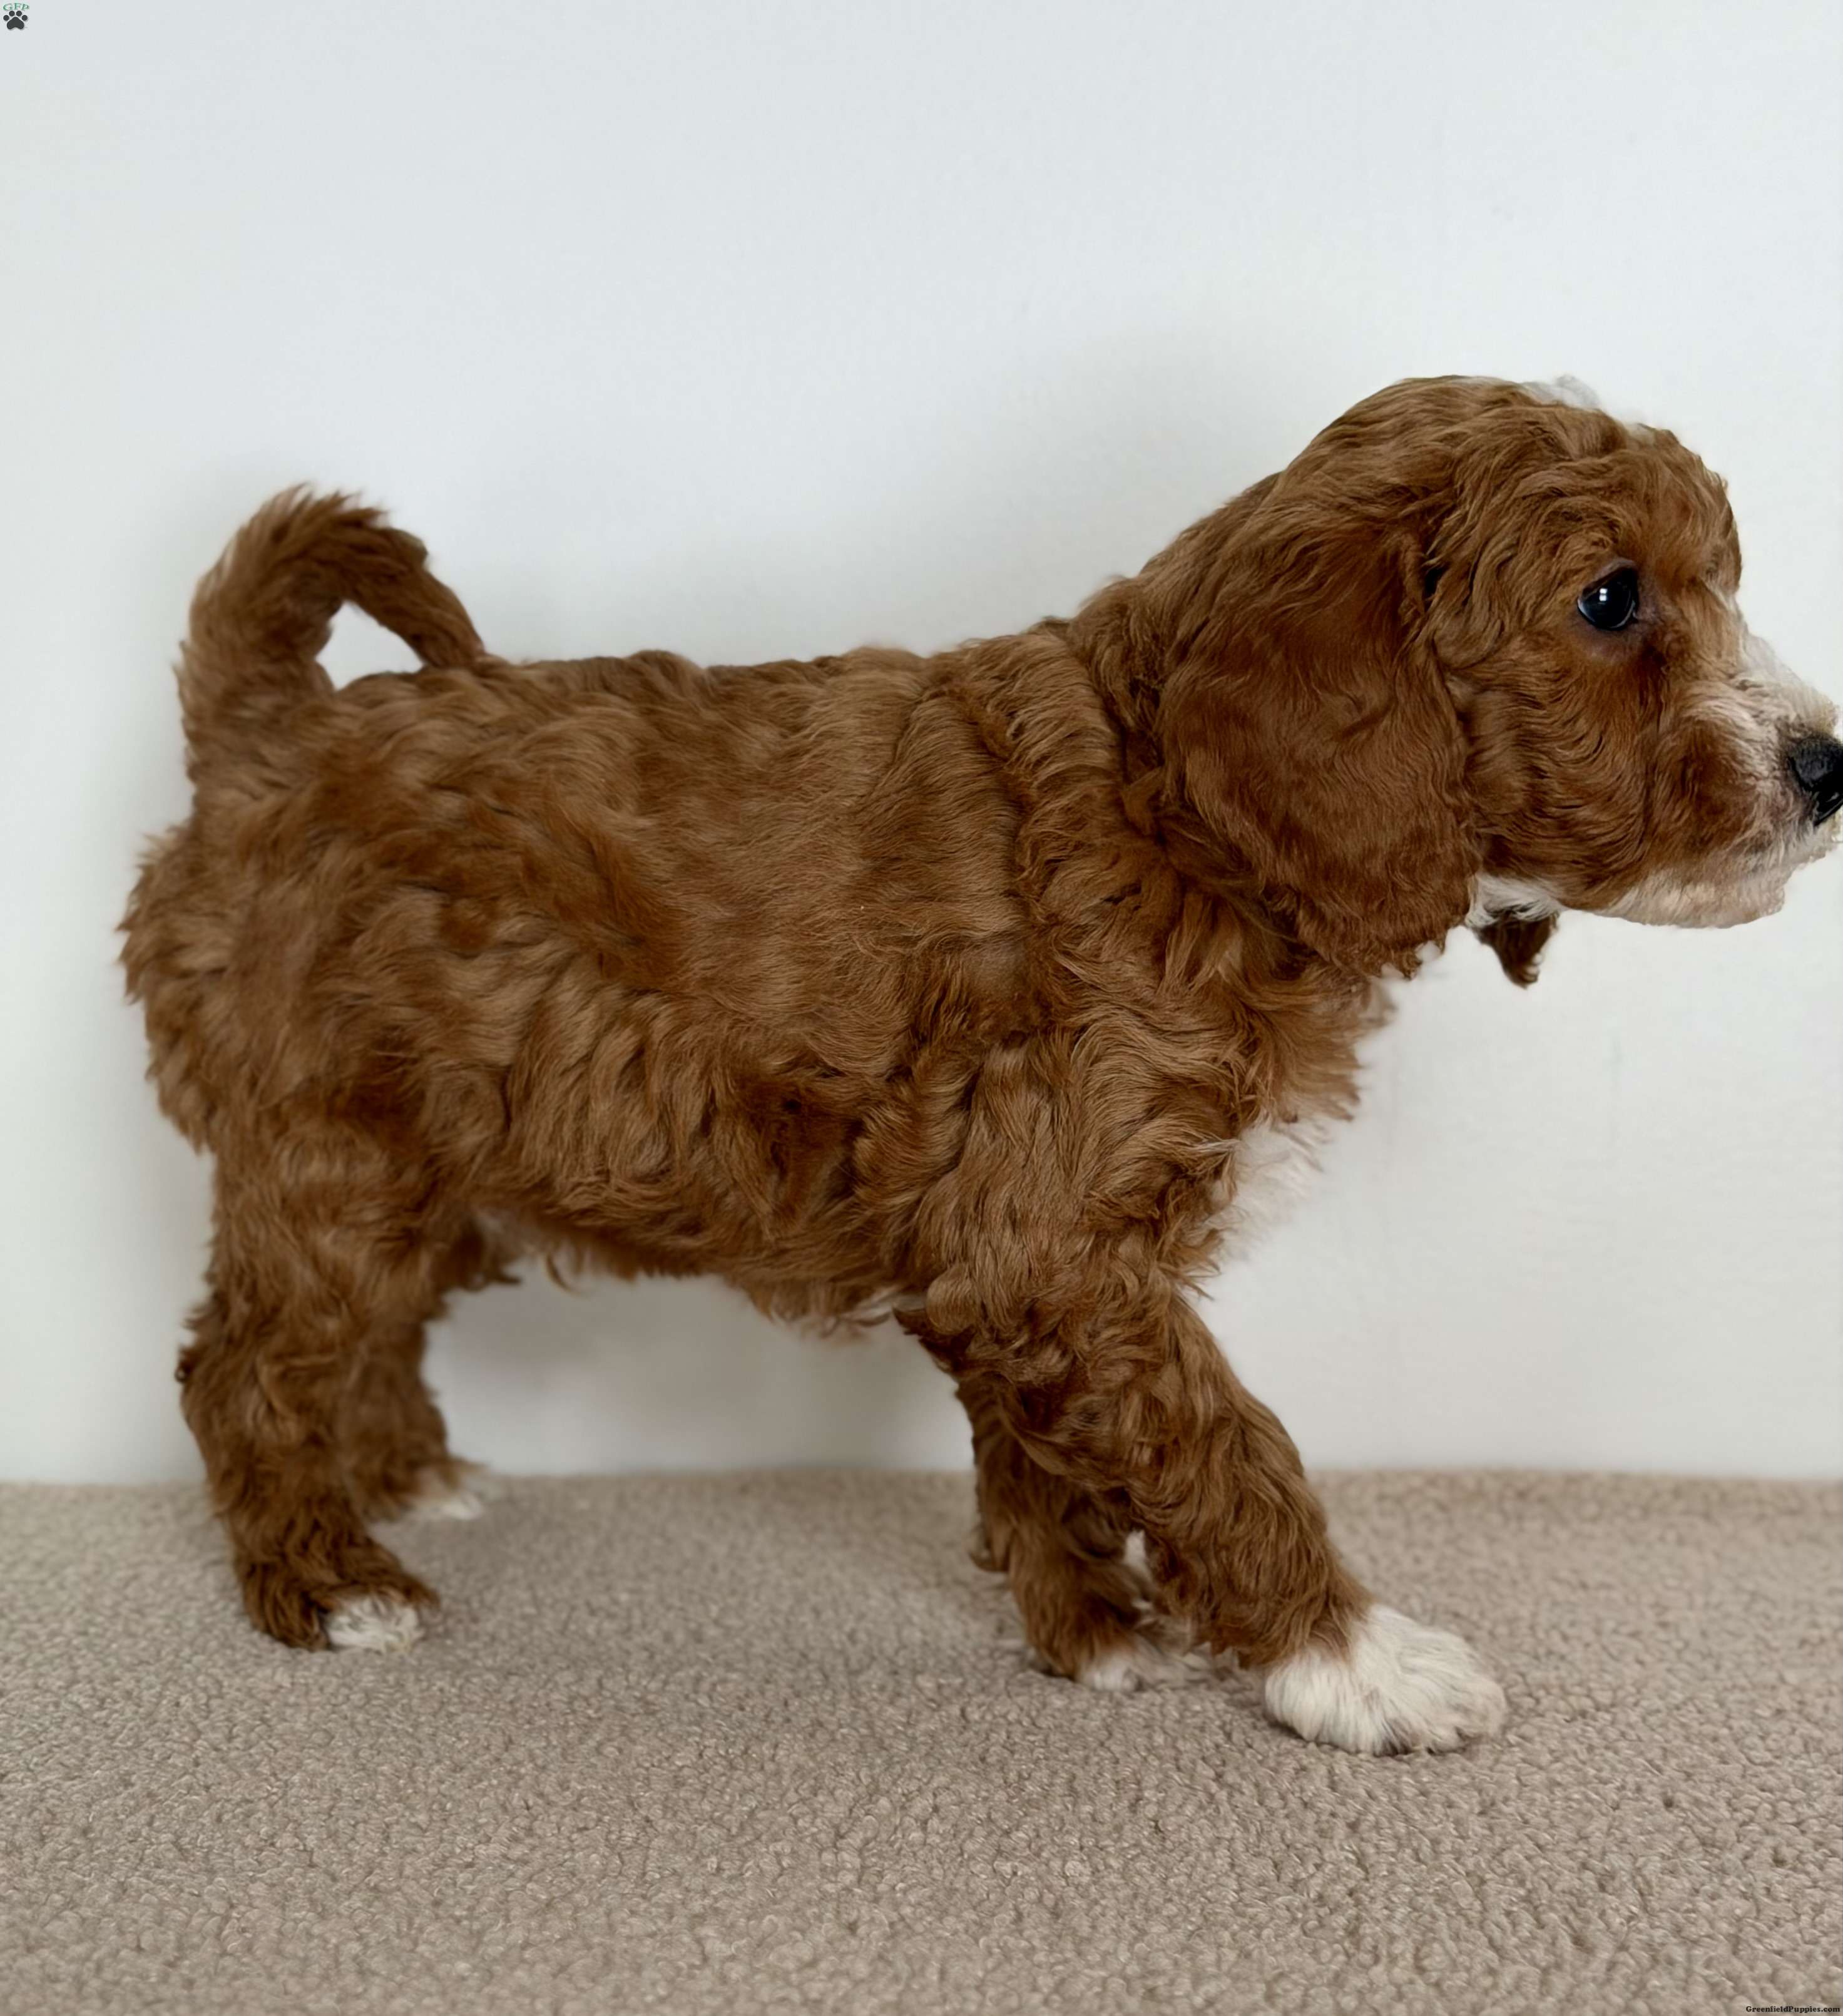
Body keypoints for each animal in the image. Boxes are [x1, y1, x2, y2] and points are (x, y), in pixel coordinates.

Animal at [123, 376, 1842, 1753]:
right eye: (1610, 601)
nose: (1827, 762)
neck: (1175, 813)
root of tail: (264, 732)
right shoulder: (1044, 1228)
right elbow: (1223, 1442)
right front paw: (1352, 1664)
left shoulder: (1010, 1256)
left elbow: (1047, 1441)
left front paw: (1089, 1628)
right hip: (335, 1146)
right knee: (245, 1362)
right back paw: (328, 1579)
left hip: (430, 1152)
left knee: (361, 1333)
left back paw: (406, 1481)